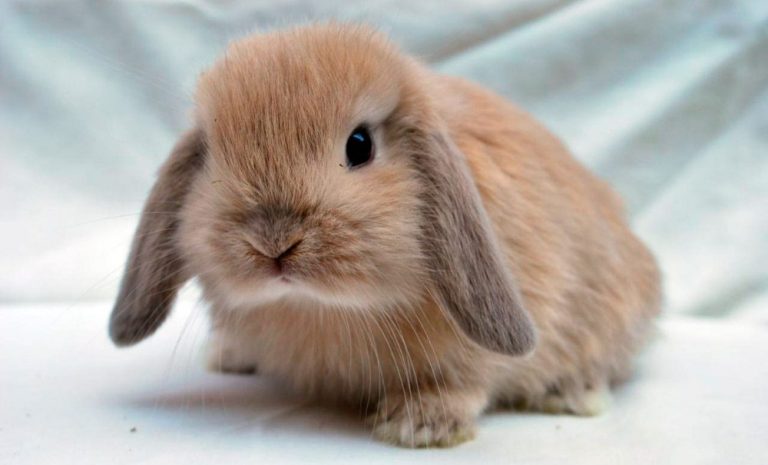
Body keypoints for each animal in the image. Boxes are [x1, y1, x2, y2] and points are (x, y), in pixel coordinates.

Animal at [109, 23, 661, 448]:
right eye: (212, 156)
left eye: (359, 145)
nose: (273, 243)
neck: (319, 309)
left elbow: (471, 377)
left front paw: (419, 424)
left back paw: (574, 394)